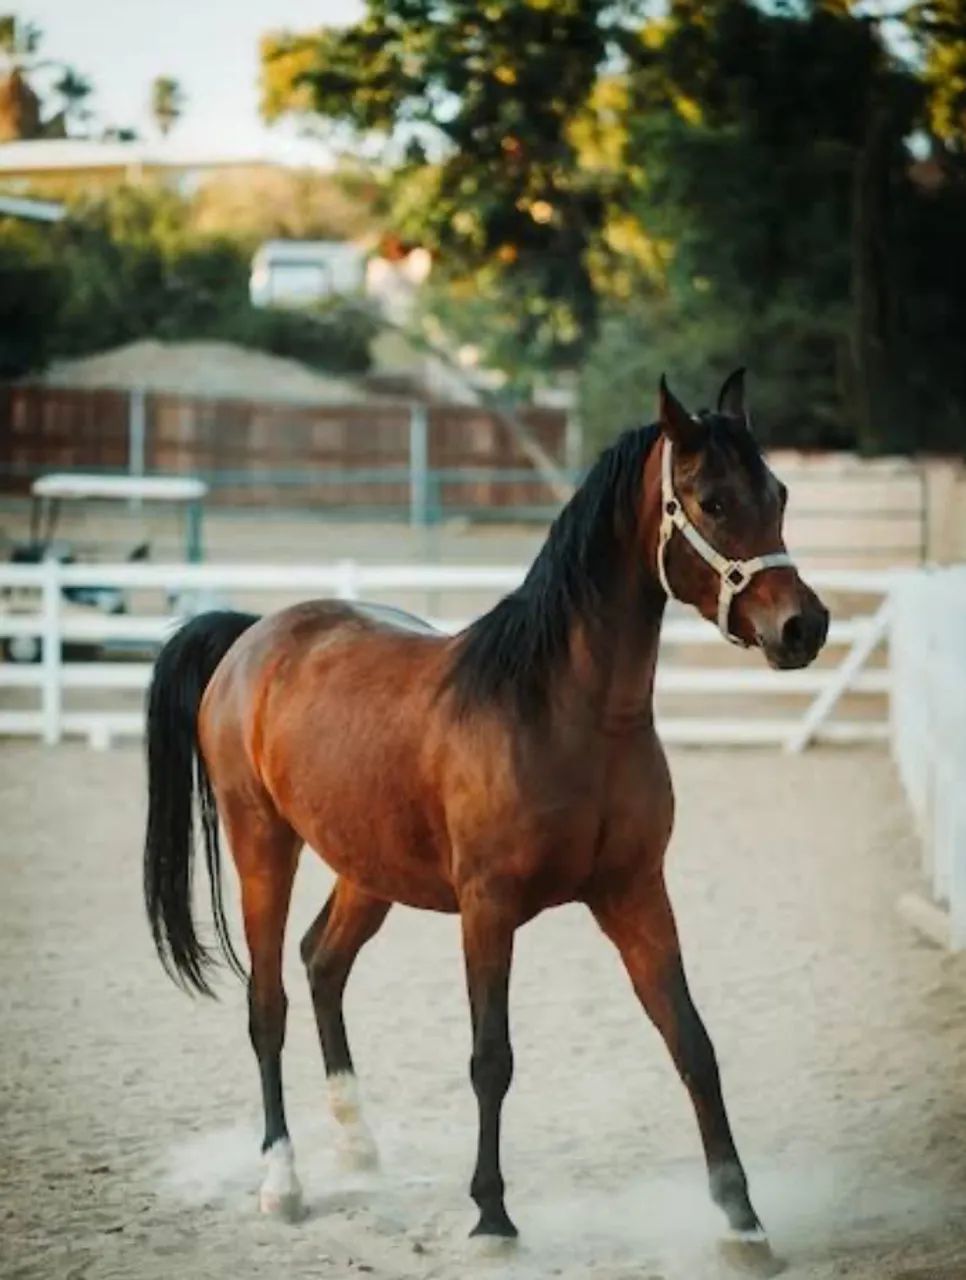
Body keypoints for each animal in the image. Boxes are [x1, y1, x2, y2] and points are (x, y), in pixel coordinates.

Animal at [143, 369, 828, 1272]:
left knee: (322, 963)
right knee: (268, 1004)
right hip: (264, 846)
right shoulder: (488, 909)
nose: (804, 626)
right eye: (711, 501)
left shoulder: (637, 893)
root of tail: (253, 635)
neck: (564, 714)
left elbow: (692, 1044)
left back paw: (359, 1147)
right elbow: (491, 1058)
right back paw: (282, 1184)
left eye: (777, 492)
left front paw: (743, 1222)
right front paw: (493, 1217)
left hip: (368, 868)